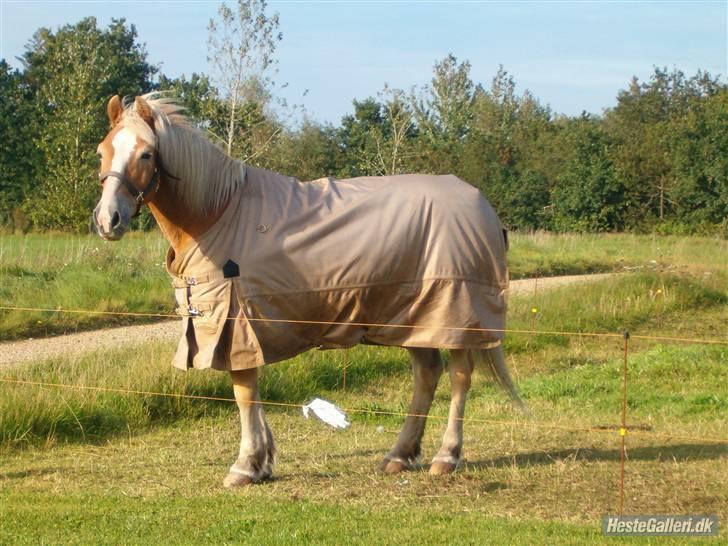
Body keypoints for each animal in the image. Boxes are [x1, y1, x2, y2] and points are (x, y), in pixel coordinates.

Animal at [92, 93, 524, 484]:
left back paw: (445, 457)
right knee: (427, 373)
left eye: (147, 154)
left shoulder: (235, 322)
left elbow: (243, 391)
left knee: (459, 376)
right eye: (102, 151)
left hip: (455, 312)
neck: (218, 213)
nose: (108, 219)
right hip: (414, 315)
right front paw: (262, 461)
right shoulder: (241, 323)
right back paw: (399, 455)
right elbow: (252, 391)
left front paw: (245, 466)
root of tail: (482, 207)